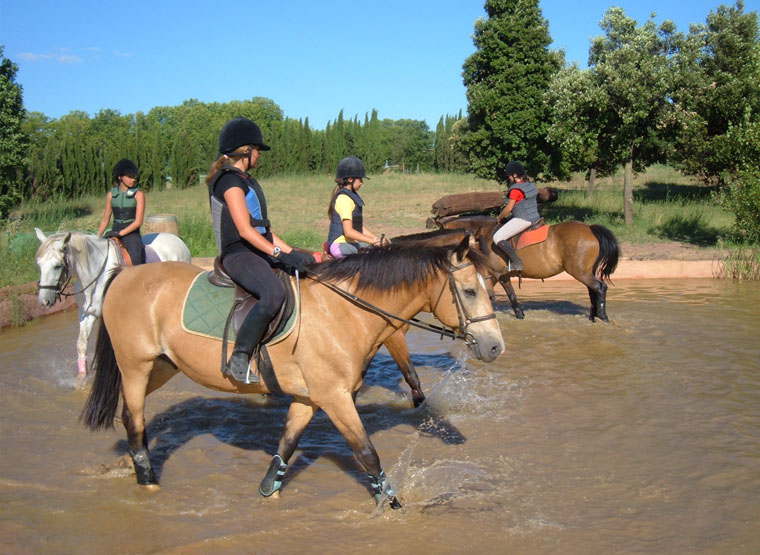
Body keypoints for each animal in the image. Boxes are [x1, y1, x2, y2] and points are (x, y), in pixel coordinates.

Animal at [35, 229, 193, 382]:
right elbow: (81, 344)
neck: (96, 275)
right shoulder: (86, 314)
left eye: (57, 266)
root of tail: (175, 239)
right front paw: (82, 377)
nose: (44, 301)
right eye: (39, 264)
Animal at [81, 237, 504, 510]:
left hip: (162, 365)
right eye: (469, 291)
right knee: (135, 420)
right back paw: (147, 480)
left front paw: (269, 488)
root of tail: (125, 275)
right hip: (135, 366)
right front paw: (392, 504)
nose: (495, 347)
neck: (345, 311)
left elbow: (287, 442)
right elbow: (366, 453)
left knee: (129, 415)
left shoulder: (309, 397)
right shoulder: (335, 398)